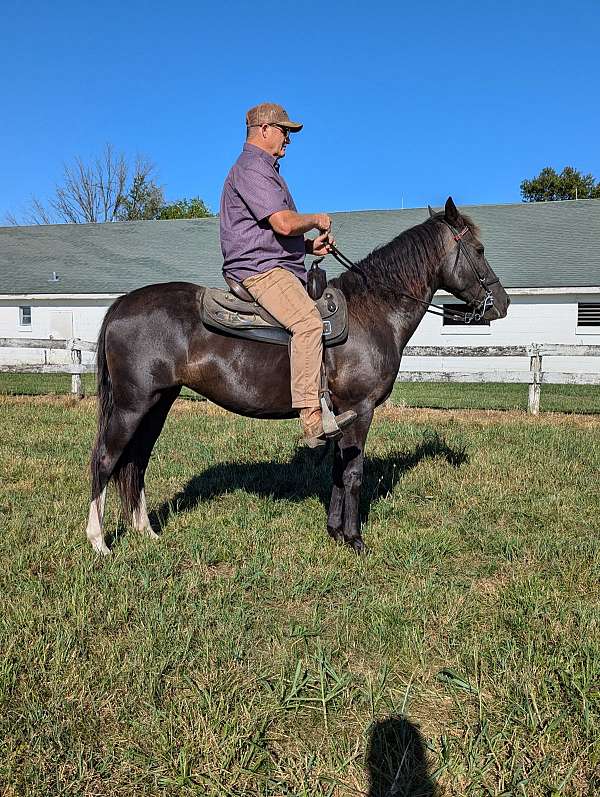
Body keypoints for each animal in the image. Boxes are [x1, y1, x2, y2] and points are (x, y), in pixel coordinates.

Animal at [88, 197, 510, 552]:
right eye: (478, 250)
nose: (503, 304)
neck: (373, 310)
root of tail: (122, 304)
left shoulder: (340, 416)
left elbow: (339, 471)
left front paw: (335, 531)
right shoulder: (361, 408)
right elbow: (354, 474)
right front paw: (355, 539)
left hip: (159, 402)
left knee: (136, 461)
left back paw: (146, 530)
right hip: (131, 405)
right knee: (106, 460)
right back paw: (100, 542)